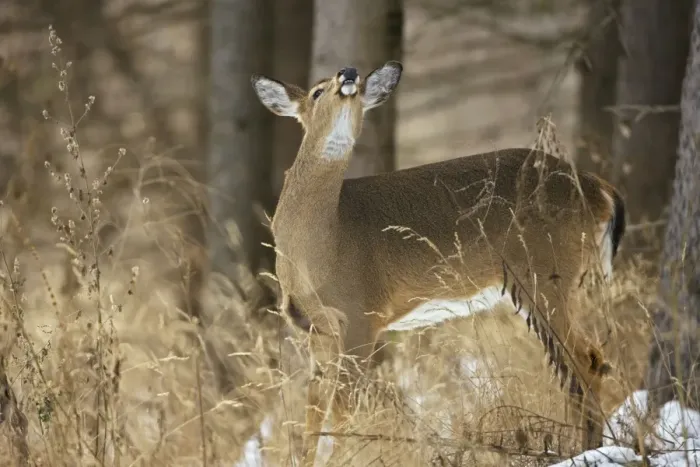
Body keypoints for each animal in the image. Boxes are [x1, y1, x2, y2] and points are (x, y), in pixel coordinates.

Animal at [251, 61, 626, 465]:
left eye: (360, 86)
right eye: (317, 92)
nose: (348, 73)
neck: (323, 241)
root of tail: (599, 188)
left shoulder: (361, 315)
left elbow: (343, 407)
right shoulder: (313, 327)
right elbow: (314, 410)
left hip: (546, 272)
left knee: (586, 360)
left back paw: (587, 448)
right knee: (581, 363)